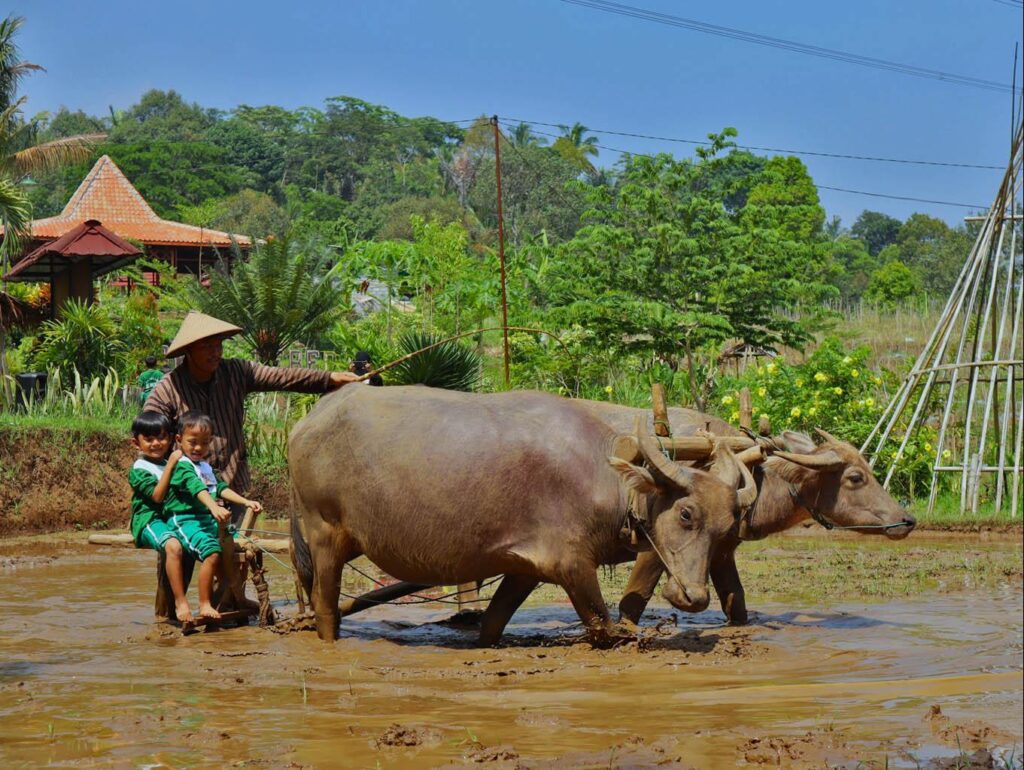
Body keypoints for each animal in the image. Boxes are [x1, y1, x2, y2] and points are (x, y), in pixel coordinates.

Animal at [288, 385, 761, 643]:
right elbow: (603, 627)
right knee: (325, 606)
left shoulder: (523, 568)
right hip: (325, 532)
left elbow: (492, 624)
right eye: (686, 514)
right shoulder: (572, 565)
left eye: (725, 529)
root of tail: (309, 421)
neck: (602, 473)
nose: (694, 597)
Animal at [573, 399, 917, 626]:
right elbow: (632, 604)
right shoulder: (654, 550)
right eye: (856, 477)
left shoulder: (723, 552)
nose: (908, 520)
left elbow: (736, 605)